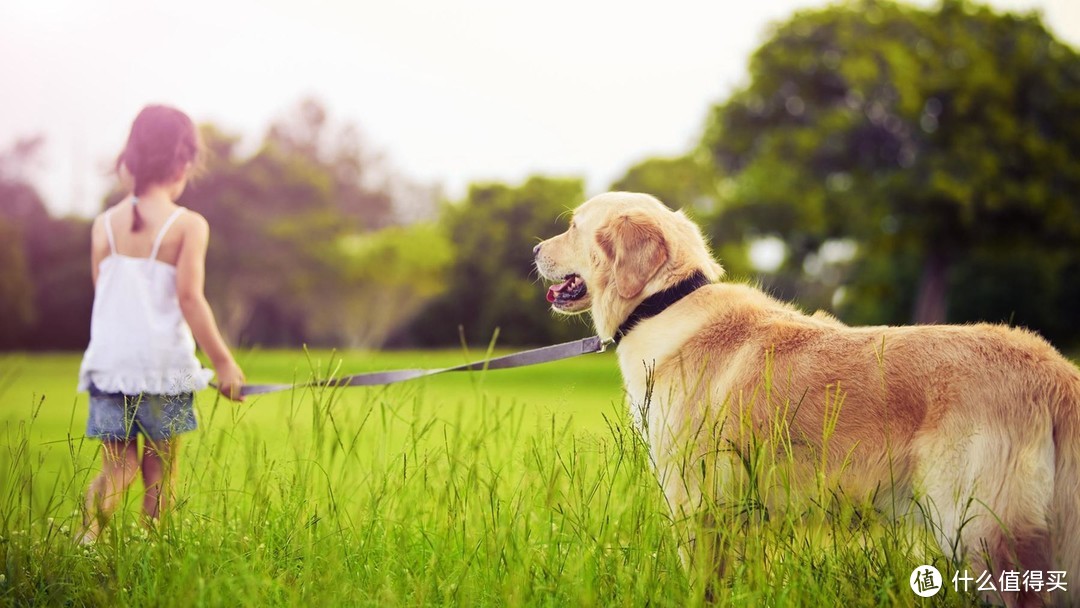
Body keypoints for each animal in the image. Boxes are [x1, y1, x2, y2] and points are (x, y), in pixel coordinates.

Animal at [531, 192, 1080, 604]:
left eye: (574, 227)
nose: (533, 250)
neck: (662, 304)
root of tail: (1054, 369)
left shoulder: (697, 499)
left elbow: (703, 583)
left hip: (982, 530)